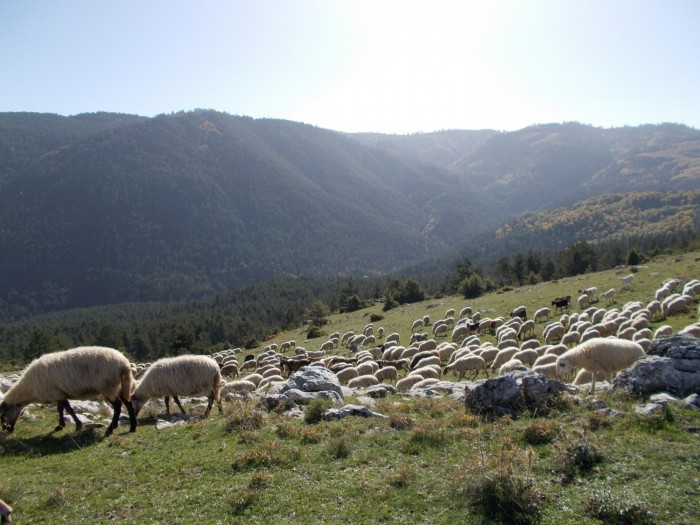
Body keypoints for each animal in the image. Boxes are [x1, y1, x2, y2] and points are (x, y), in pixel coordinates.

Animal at [0, 346, 138, 436]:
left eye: (2, 415)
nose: (7, 429)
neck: (29, 389)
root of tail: (124, 363)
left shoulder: (56, 393)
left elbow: (67, 408)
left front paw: (76, 425)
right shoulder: (58, 393)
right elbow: (62, 408)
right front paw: (61, 426)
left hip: (108, 386)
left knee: (118, 406)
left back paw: (110, 429)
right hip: (119, 386)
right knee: (128, 403)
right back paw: (132, 427)